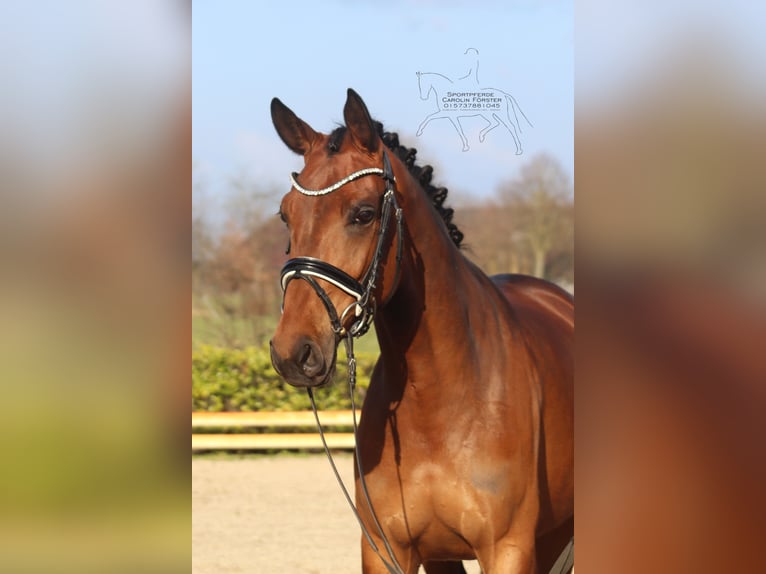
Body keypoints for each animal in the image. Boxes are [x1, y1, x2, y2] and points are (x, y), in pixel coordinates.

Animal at [269, 89, 573, 574]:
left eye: (364, 214)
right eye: (285, 214)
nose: (293, 352)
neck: (439, 399)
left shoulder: (508, 549)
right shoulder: (389, 548)